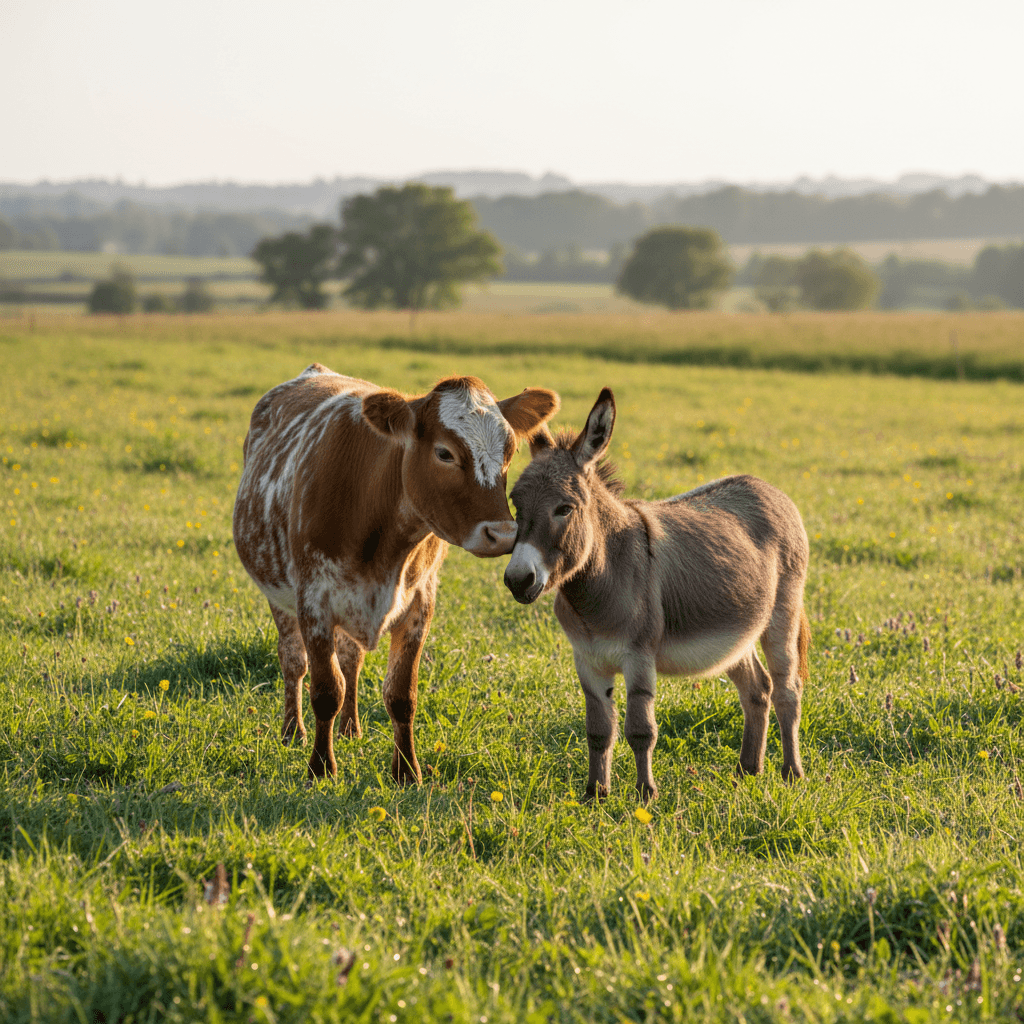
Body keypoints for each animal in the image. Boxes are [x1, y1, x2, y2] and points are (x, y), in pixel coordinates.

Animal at [232, 364, 559, 785]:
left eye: (510, 451)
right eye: (444, 453)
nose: (502, 534)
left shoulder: (419, 604)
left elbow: (401, 695)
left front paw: (406, 771)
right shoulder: (314, 602)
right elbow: (326, 691)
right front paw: (321, 767)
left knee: (351, 660)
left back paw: (350, 728)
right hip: (279, 597)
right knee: (294, 661)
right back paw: (293, 730)